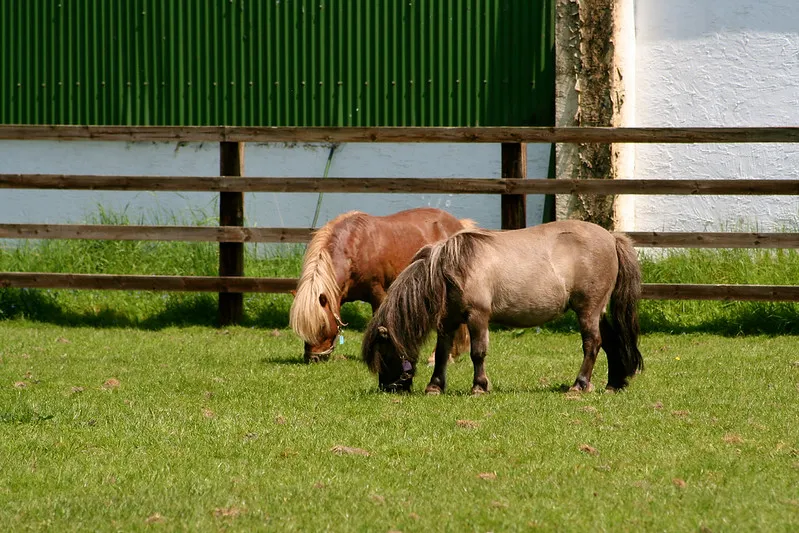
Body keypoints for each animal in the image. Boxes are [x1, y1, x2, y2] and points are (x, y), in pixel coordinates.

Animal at [361, 220, 644, 394]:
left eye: (383, 354)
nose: (389, 388)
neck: (450, 268)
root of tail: (611, 238)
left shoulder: (477, 316)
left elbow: (477, 353)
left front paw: (479, 386)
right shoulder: (448, 320)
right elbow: (442, 353)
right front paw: (435, 387)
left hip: (588, 310)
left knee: (592, 344)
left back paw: (579, 384)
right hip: (597, 311)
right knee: (610, 342)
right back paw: (613, 384)